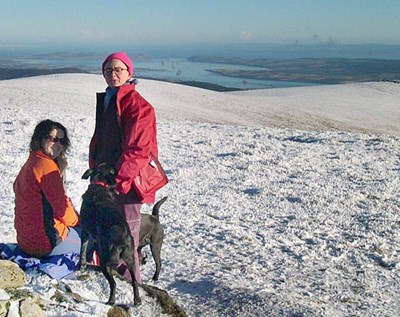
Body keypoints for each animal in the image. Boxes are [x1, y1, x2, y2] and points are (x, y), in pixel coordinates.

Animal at [79, 163, 141, 304]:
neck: (99, 185)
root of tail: (122, 238)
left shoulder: (85, 231)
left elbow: (82, 250)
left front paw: (81, 264)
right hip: (130, 259)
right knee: (134, 281)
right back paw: (137, 300)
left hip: (105, 261)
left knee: (113, 283)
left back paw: (111, 301)